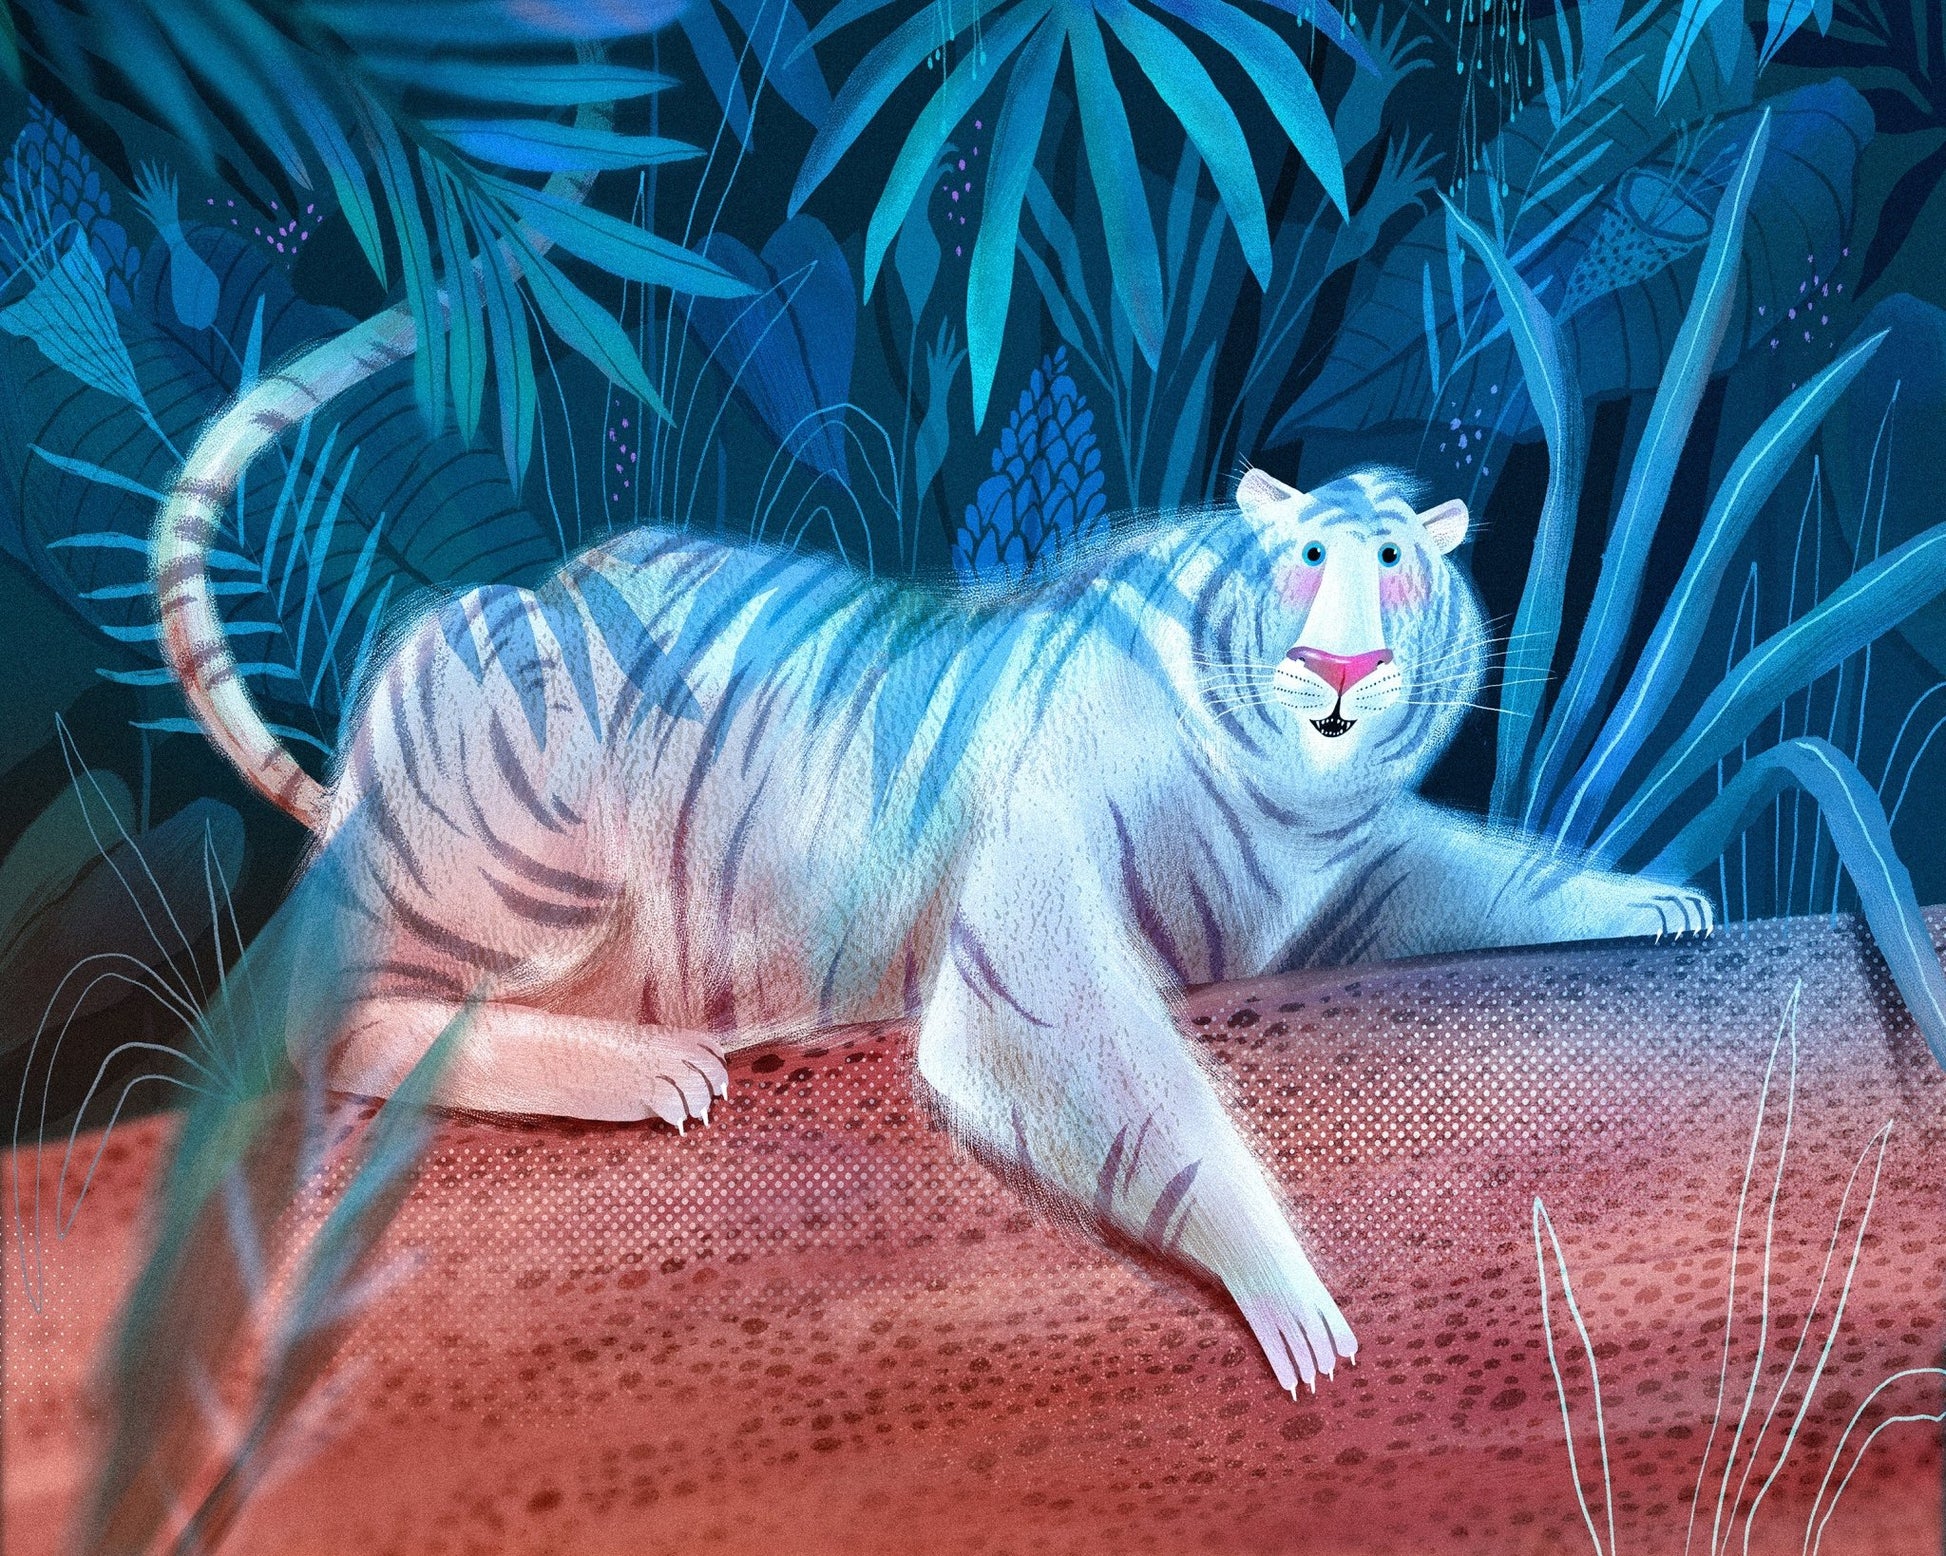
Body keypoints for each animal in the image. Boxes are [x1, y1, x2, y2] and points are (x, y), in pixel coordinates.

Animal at [154, 439, 1714, 1396]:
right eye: (1308, 558)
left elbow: (1499, 876)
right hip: (523, 835)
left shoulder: (1349, 881)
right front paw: (1296, 1297)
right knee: (335, 1018)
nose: (1340, 668)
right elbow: (1149, 1102)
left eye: (1395, 561)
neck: (1288, 795)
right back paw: (650, 1069)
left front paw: (1659, 899)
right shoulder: (1031, 955)